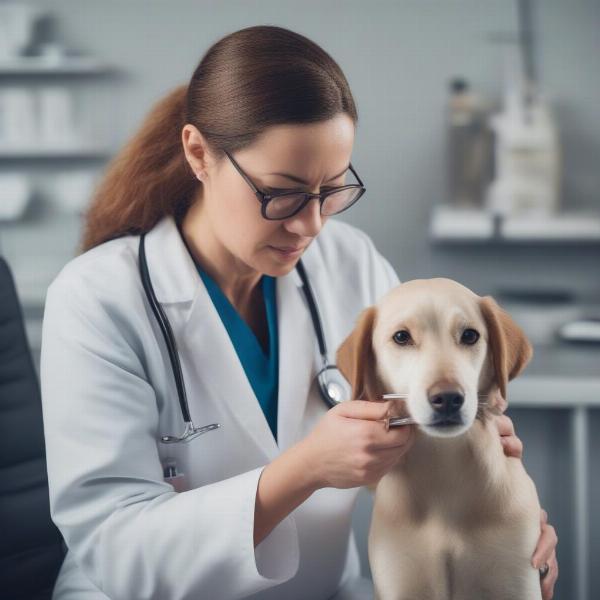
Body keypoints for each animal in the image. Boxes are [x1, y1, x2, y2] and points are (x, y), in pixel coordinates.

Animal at [338, 278, 544, 600]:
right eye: (401, 337)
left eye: (470, 335)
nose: (447, 398)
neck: (444, 468)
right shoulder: (399, 583)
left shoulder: (517, 580)